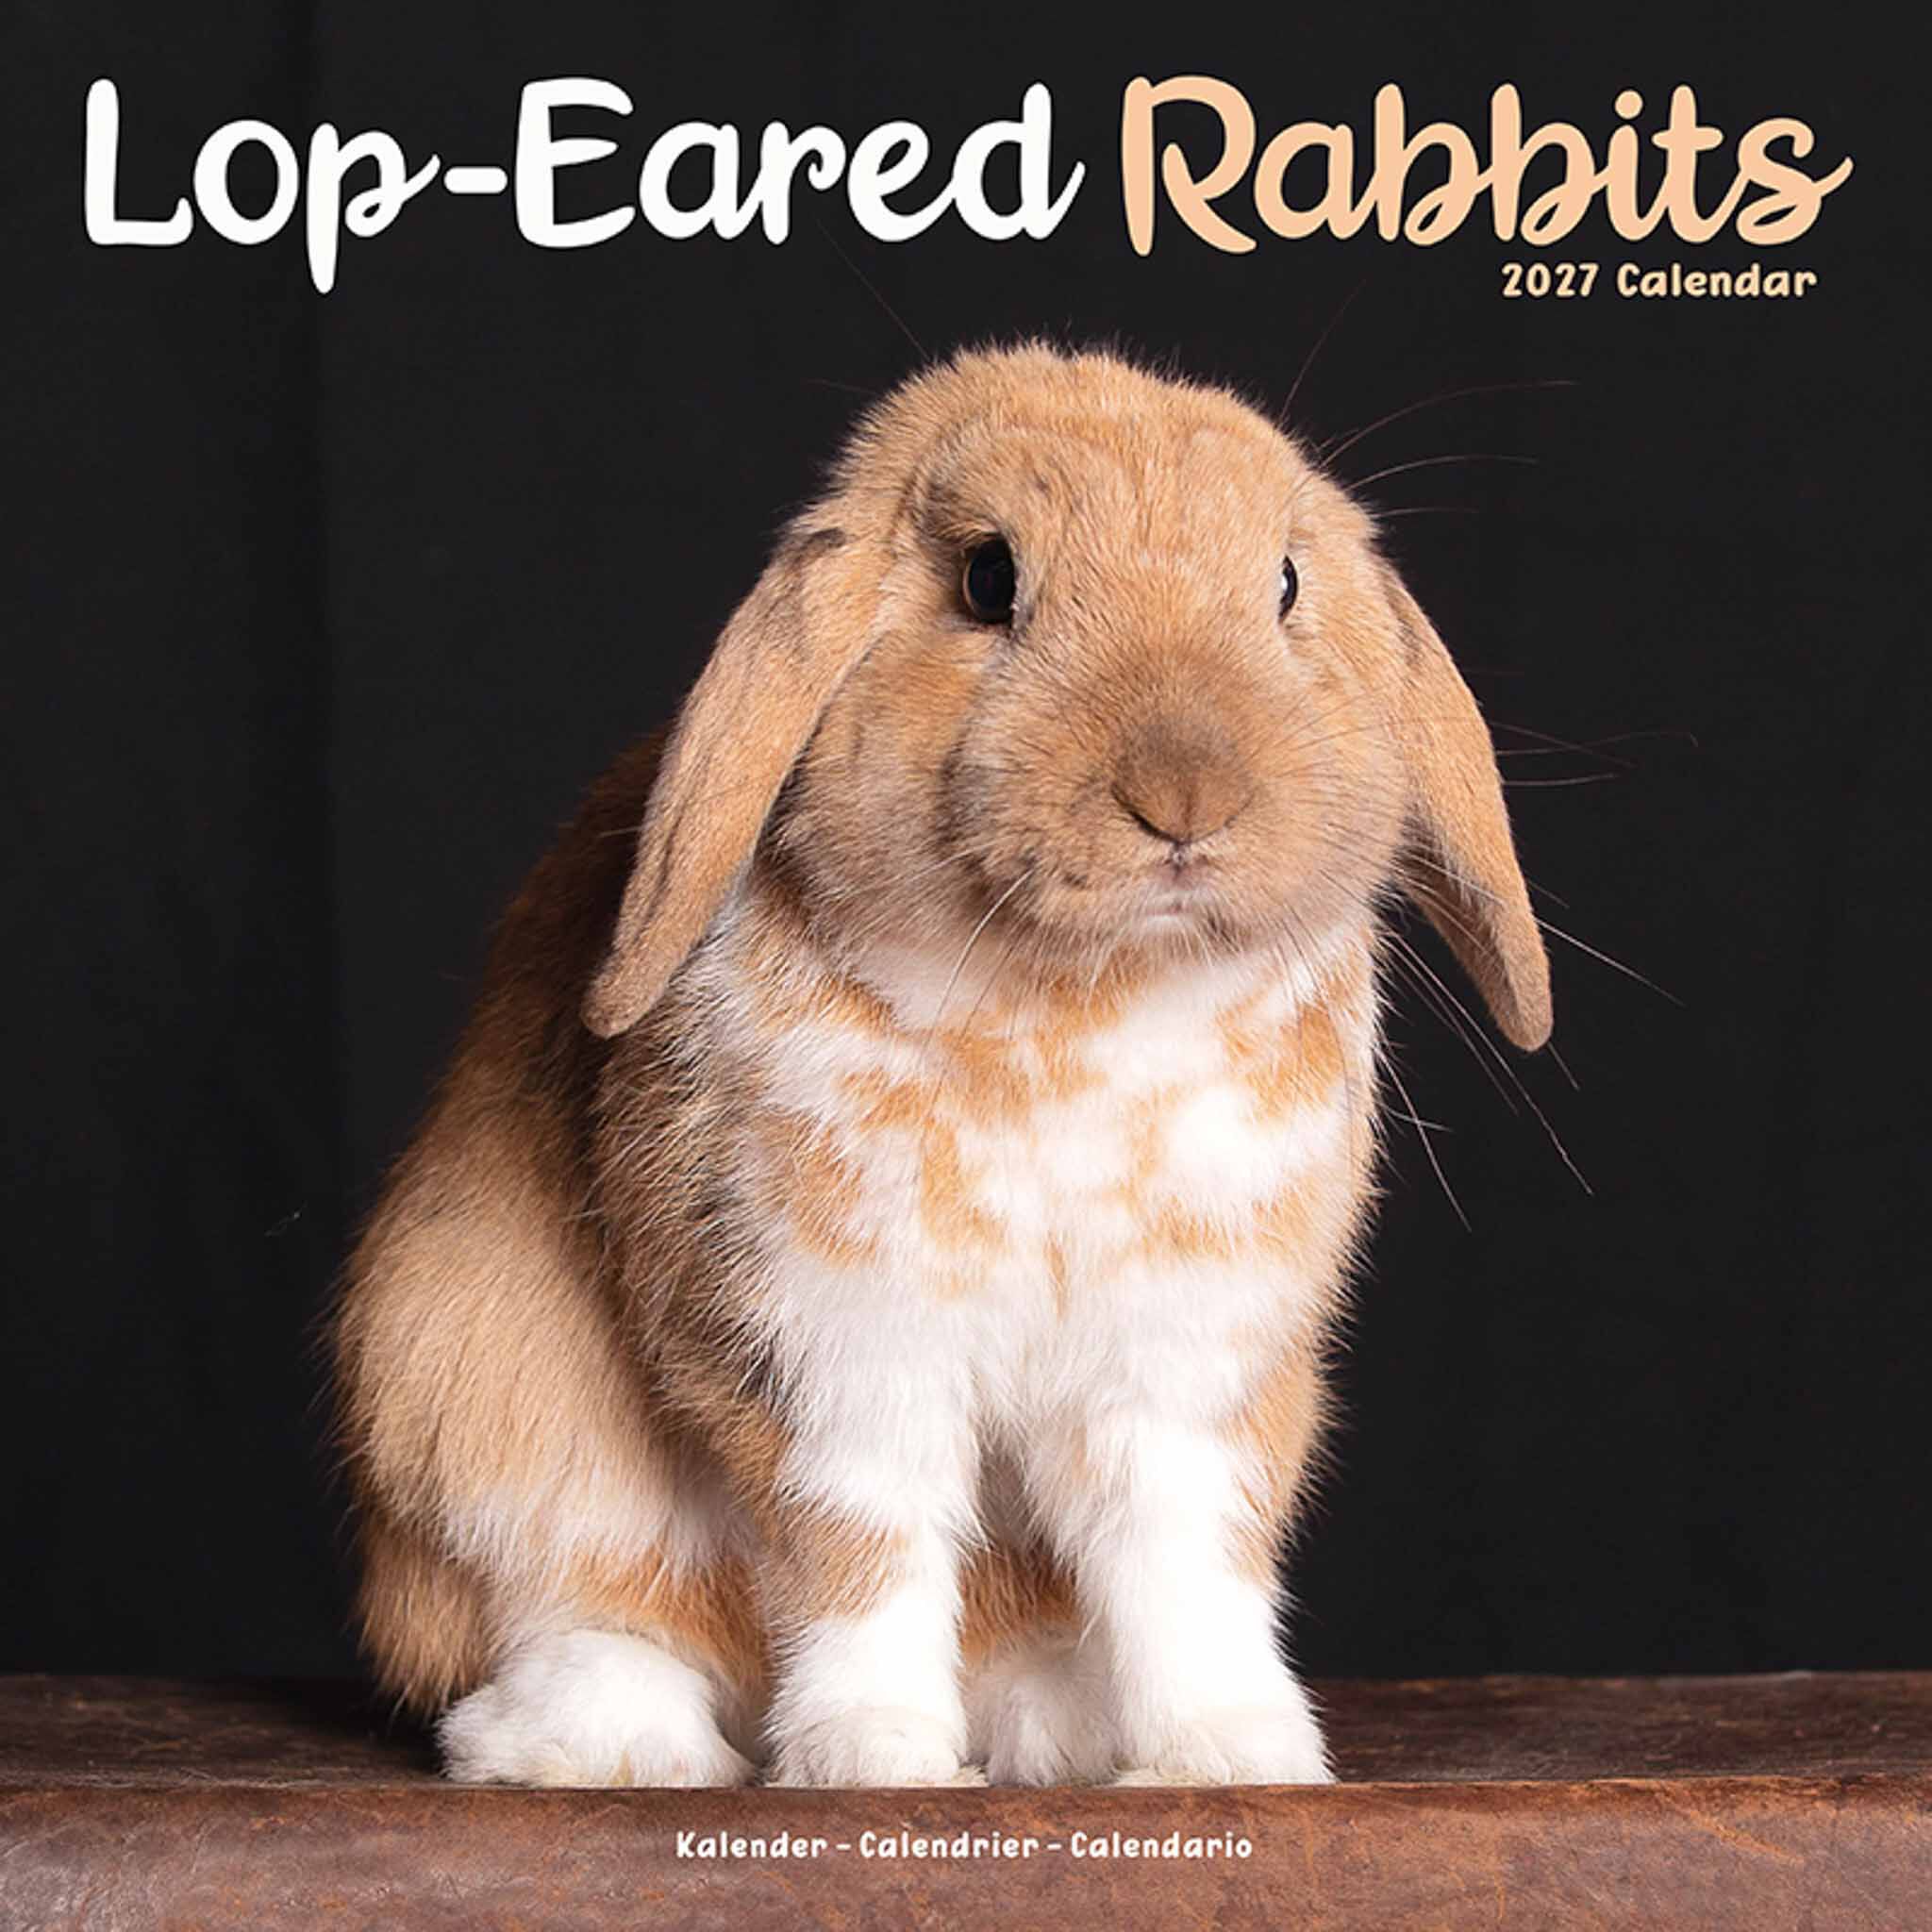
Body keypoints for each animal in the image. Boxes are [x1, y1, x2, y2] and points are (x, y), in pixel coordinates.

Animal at [330, 341, 1551, 1790]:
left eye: (1286, 585)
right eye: (987, 580)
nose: (1185, 798)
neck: (1079, 1002)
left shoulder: (1190, 1371)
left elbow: (1188, 1564)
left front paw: (1232, 1751)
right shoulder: (827, 1341)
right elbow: (861, 1544)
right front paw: (874, 1754)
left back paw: (1060, 1724)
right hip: (466, 1396)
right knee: (597, 1609)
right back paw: (609, 1741)